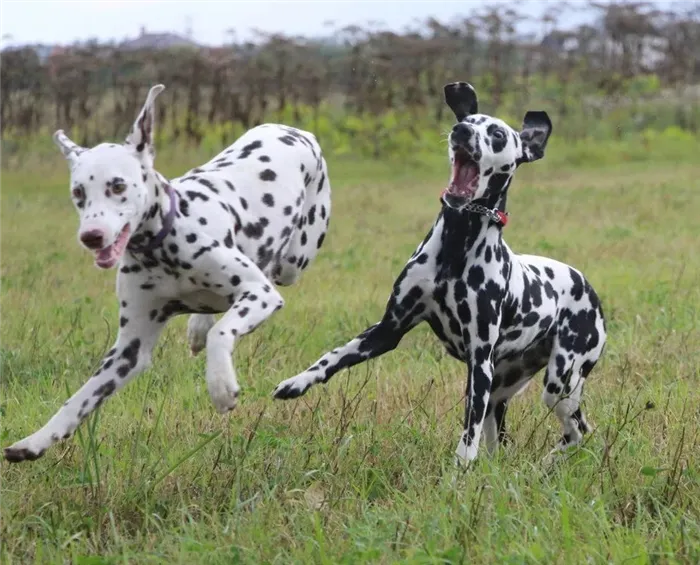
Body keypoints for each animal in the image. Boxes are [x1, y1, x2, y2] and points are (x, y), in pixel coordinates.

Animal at [2, 83, 332, 462]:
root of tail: (290, 128)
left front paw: (221, 385)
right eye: (78, 192)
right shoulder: (129, 351)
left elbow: (223, 332)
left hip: (293, 262)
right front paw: (35, 441)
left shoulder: (258, 293)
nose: (91, 236)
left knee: (264, 275)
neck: (160, 250)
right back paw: (198, 326)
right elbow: (80, 399)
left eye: (117, 186)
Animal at [274, 81, 608, 464]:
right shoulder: (388, 330)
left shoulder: (479, 361)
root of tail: (587, 287)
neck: (455, 247)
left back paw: (547, 462)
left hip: (559, 382)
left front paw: (460, 467)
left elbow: (468, 431)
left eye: (496, 133)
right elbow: (333, 356)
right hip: (502, 387)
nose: (461, 131)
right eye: (467, 120)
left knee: (578, 430)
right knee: (501, 437)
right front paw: (297, 382)